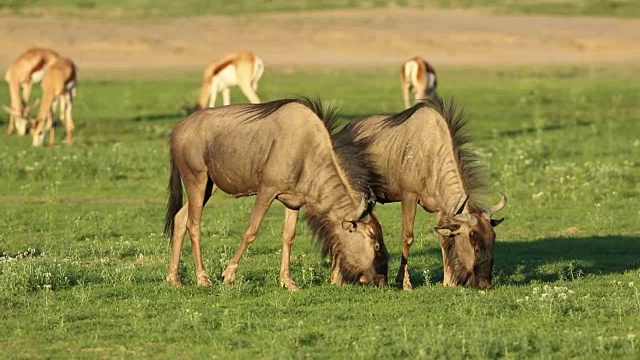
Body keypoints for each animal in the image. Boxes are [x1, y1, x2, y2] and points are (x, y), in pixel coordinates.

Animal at [162, 97, 388, 292]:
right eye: (376, 244)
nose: (382, 280)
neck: (307, 150)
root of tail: (177, 130)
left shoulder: (294, 201)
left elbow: (288, 236)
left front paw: (288, 281)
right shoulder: (266, 191)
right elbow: (251, 231)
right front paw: (229, 275)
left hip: (210, 186)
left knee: (180, 218)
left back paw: (174, 278)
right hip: (197, 180)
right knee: (193, 224)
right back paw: (203, 278)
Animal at [338, 95, 508, 290]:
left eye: (493, 239)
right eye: (475, 244)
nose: (484, 283)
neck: (431, 153)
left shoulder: (442, 208)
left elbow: (443, 239)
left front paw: (448, 281)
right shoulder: (409, 196)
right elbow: (407, 237)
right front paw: (405, 283)